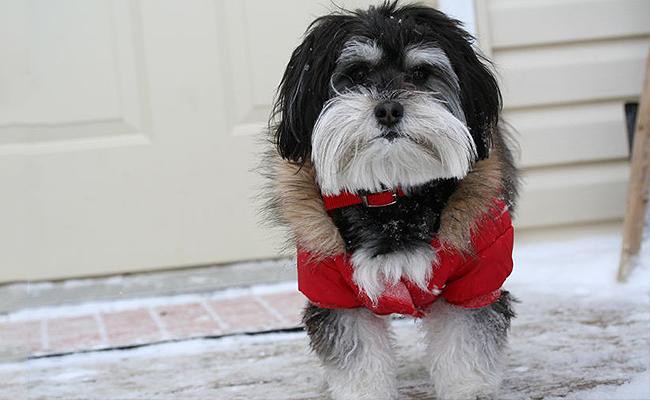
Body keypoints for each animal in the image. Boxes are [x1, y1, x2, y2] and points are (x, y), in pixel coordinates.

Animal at [260, 1, 520, 398]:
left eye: (421, 73)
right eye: (356, 74)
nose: (388, 110)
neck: (394, 200)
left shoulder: (476, 278)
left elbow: (465, 348)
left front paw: (468, 389)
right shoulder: (333, 289)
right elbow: (358, 361)